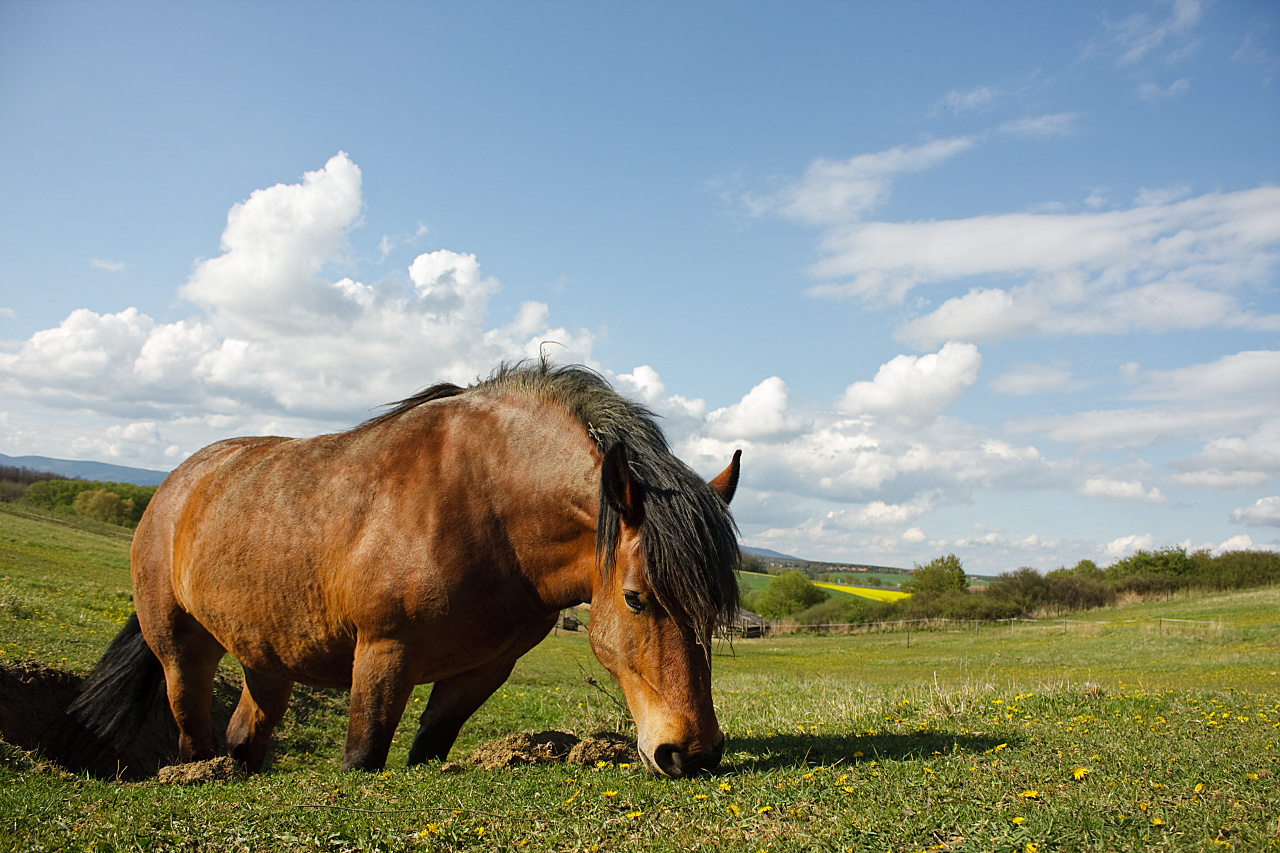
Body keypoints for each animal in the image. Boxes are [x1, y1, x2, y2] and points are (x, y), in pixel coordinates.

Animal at [55, 361, 742, 773]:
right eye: (635, 598)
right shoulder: (383, 654)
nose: (693, 754)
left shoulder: (481, 670)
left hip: (266, 660)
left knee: (243, 737)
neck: (486, 507)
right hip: (181, 653)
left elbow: (426, 750)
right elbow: (362, 757)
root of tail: (177, 485)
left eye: (714, 610)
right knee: (195, 738)